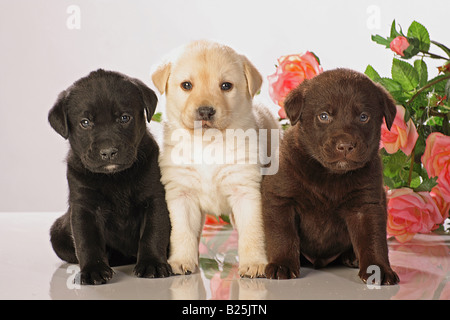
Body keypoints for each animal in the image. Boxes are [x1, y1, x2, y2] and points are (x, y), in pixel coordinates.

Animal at [48, 69, 172, 284]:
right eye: (85, 123)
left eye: (124, 118)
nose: (108, 152)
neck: (114, 177)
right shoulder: (84, 206)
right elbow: (87, 241)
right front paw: (93, 270)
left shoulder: (154, 198)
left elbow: (153, 233)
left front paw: (153, 264)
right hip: (58, 232)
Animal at [151, 40, 278, 278]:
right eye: (186, 85)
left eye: (226, 86)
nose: (205, 111)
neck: (207, 143)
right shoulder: (182, 194)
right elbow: (183, 232)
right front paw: (181, 261)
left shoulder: (246, 191)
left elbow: (252, 232)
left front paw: (254, 263)